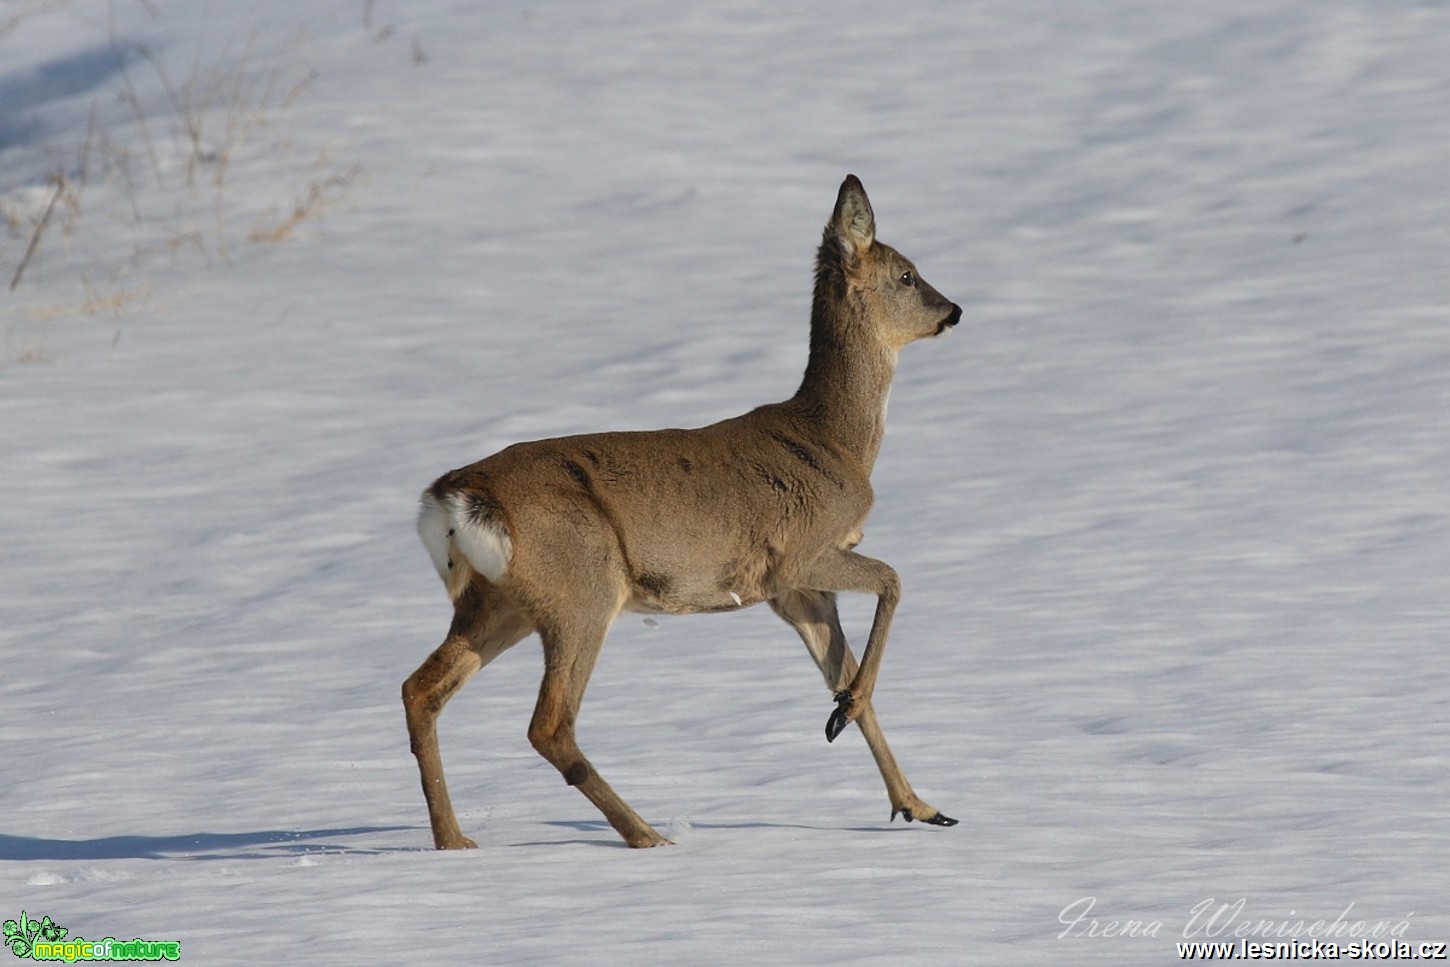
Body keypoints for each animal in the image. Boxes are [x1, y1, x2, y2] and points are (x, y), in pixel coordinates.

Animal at [406, 173, 962, 846]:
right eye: (907, 274)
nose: (954, 310)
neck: (836, 442)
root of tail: (453, 496)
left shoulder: (794, 593)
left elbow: (845, 670)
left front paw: (919, 804)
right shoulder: (797, 556)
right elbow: (894, 582)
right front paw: (847, 715)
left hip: (498, 601)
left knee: (420, 689)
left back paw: (455, 841)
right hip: (583, 587)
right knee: (548, 723)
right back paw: (649, 835)